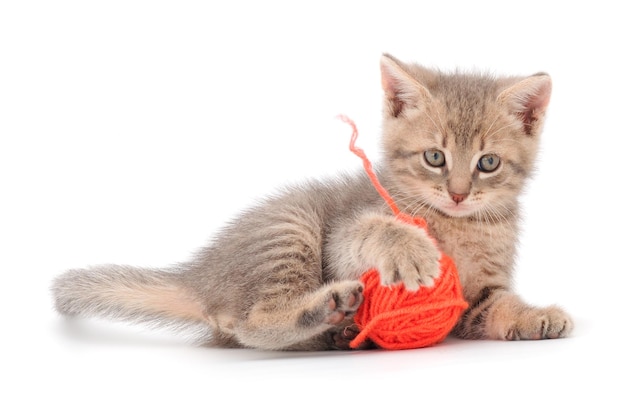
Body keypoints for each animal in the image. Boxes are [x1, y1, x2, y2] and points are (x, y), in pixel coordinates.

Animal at [52, 53, 572, 350]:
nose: (459, 193)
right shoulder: (345, 236)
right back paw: (328, 309)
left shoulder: (475, 298)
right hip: (290, 227)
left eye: (488, 163)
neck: (461, 226)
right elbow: (370, 229)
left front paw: (536, 316)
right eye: (435, 157)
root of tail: (203, 277)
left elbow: (498, 308)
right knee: (249, 323)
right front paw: (409, 248)